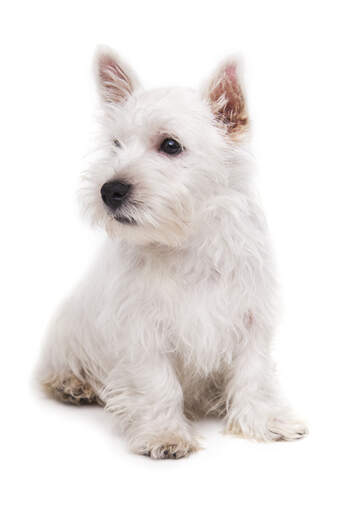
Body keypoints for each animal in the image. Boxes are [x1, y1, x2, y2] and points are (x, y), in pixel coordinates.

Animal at [36, 47, 306, 460]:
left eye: (170, 145)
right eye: (116, 144)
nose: (109, 190)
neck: (186, 244)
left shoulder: (250, 320)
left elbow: (254, 375)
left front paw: (267, 423)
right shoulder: (143, 332)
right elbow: (159, 384)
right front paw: (165, 435)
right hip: (67, 334)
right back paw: (73, 384)